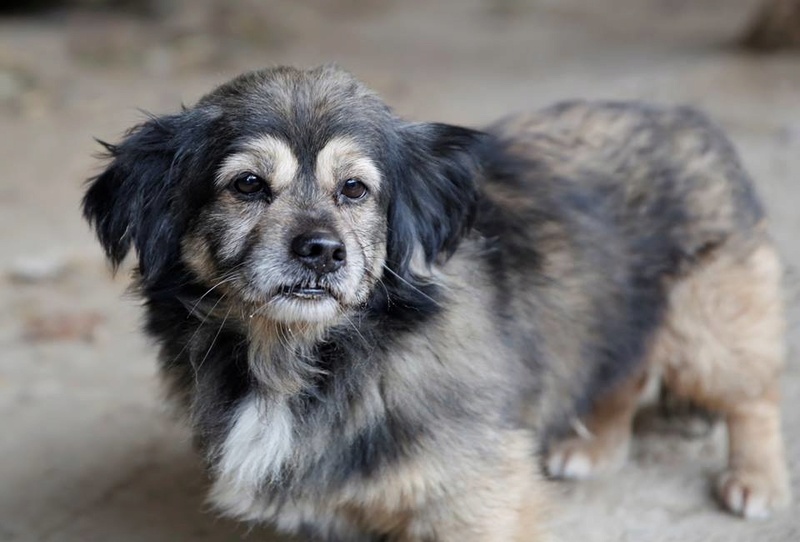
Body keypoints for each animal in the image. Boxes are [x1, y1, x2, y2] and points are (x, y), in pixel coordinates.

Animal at [81, 66, 788, 540]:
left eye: (355, 189)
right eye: (248, 185)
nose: (321, 251)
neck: (304, 361)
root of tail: (682, 117)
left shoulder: (476, 500)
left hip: (709, 329)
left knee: (753, 396)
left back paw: (757, 479)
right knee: (624, 369)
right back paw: (596, 448)